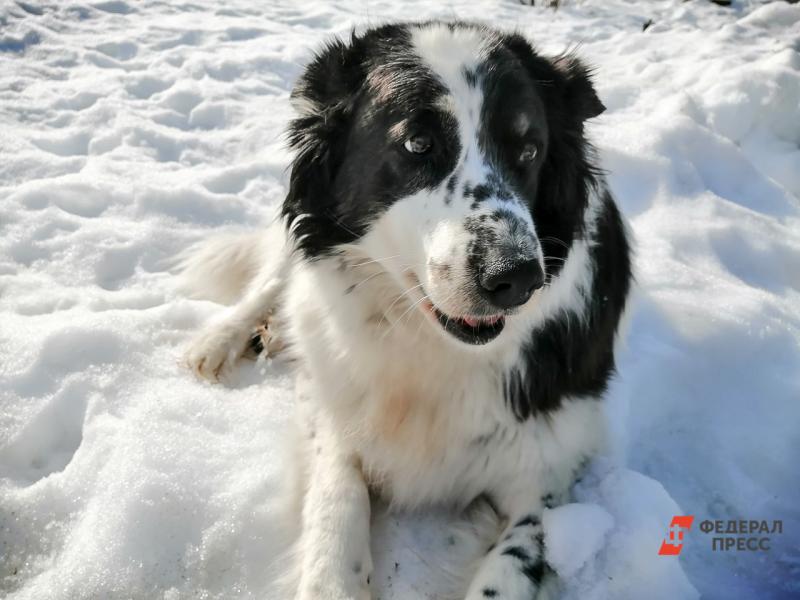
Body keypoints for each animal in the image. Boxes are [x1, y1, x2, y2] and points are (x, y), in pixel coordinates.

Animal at [180, 21, 632, 596]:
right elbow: (338, 503)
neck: (425, 342)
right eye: (418, 144)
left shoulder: (549, 476)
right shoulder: (336, 411)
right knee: (274, 279)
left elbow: (509, 568)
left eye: (529, 150)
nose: (518, 277)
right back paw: (221, 340)